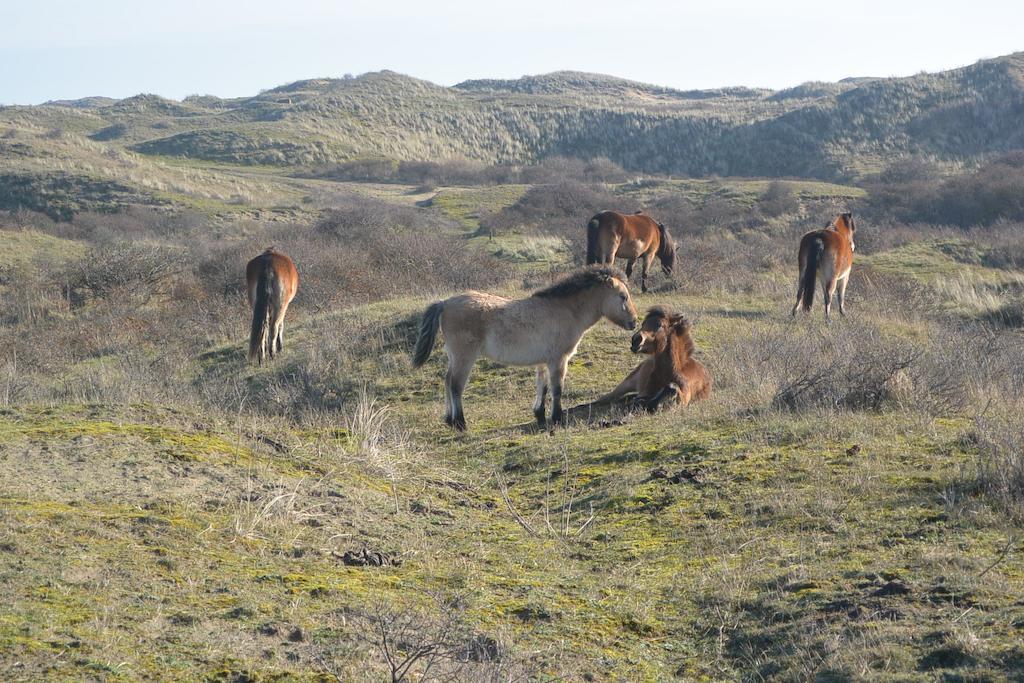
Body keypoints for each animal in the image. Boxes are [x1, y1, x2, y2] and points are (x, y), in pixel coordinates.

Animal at [411, 266, 634, 430]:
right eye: (622, 296)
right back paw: (460, 423)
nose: (634, 321)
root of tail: (445, 303)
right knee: (456, 385)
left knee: (447, 380)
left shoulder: (544, 361)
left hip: (454, 356)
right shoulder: (558, 360)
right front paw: (557, 418)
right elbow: (557, 388)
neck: (564, 310)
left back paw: (449, 420)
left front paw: (540, 415)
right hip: (464, 357)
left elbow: (542, 386)